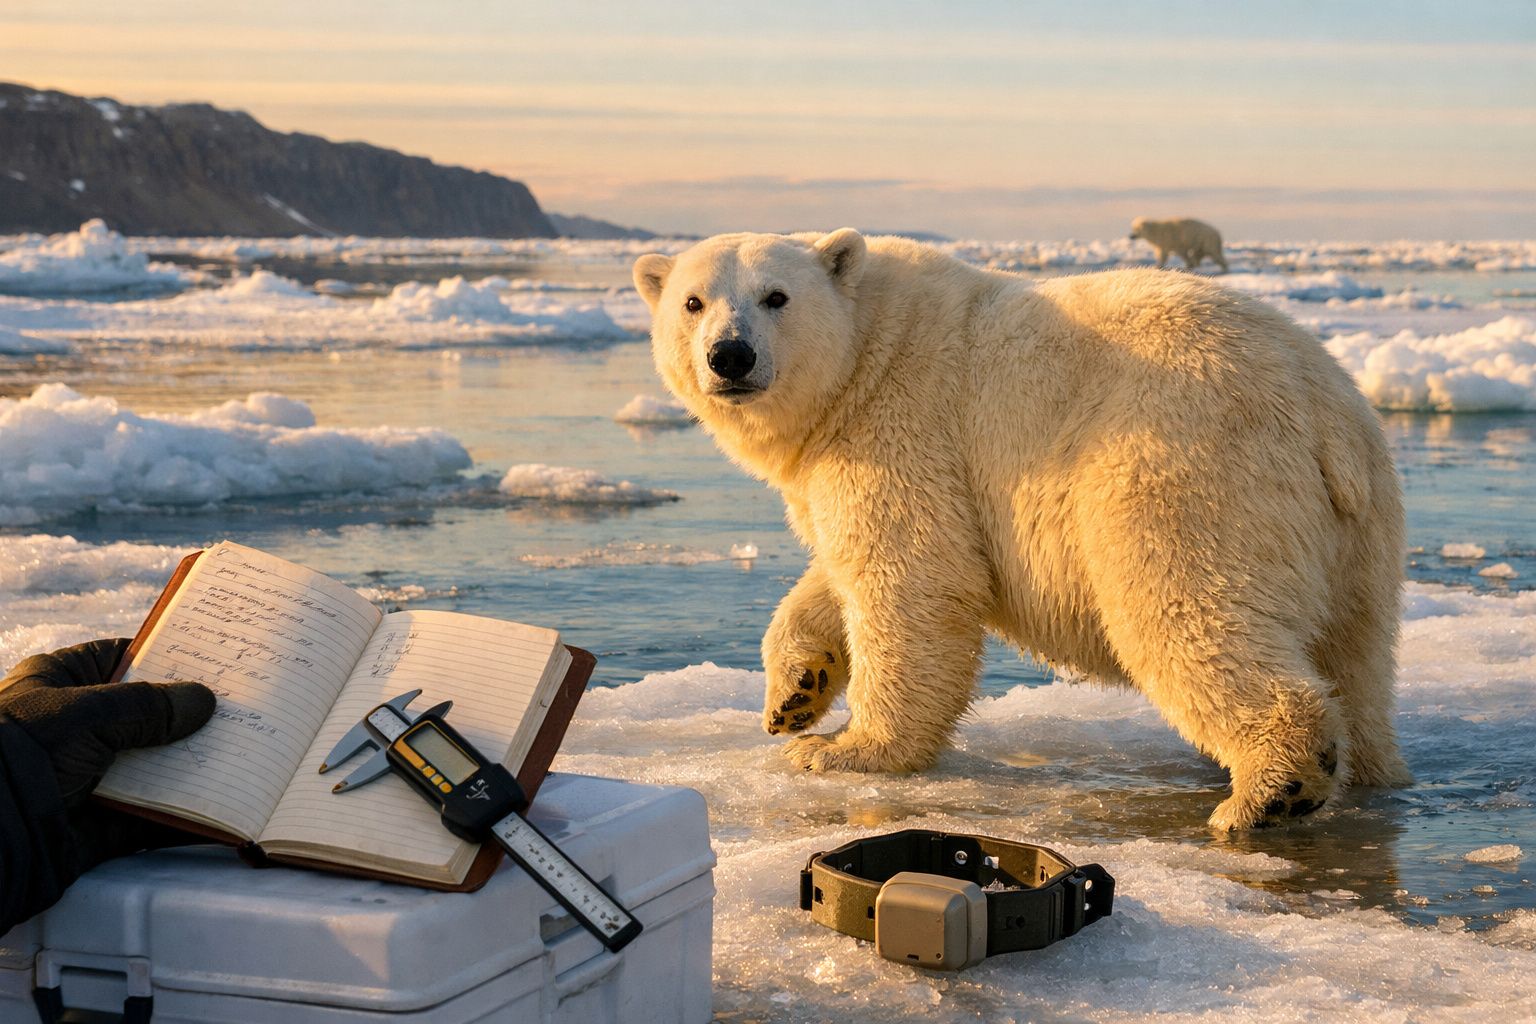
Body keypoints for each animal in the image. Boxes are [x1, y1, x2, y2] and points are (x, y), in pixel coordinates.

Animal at [633, 228, 1410, 830]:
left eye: (776, 297)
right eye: (693, 302)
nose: (730, 355)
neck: (866, 351)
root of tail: (1323, 411)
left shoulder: (904, 425)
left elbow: (909, 580)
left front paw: (845, 749)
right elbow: (835, 574)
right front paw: (794, 695)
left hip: (1185, 471)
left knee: (1180, 604)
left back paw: (1271, 790)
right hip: (1359, 531)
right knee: (1357, 653)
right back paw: (1368, 766)